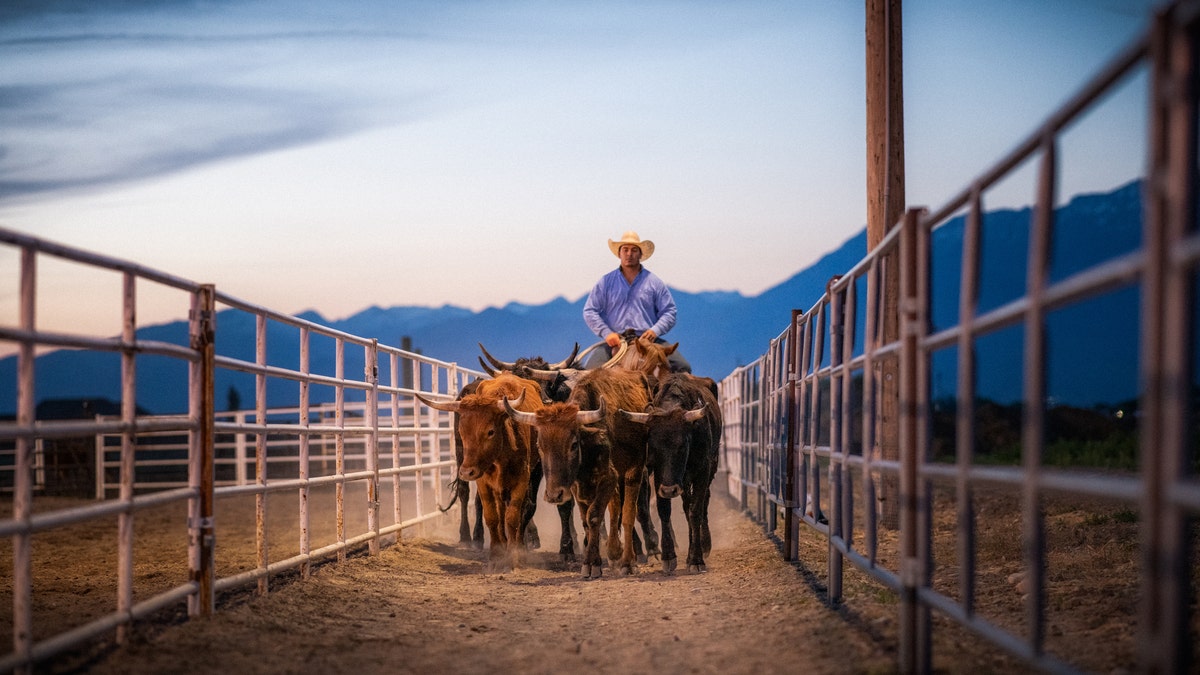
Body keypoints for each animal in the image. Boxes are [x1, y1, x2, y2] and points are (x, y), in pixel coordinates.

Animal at [415, 369, 542, 569]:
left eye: (490, 431)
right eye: (462, 431)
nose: (467, 472)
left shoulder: (522, 478)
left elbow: (513, 517)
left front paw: (514, 556)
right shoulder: (483, 481)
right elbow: (492, 516)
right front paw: (496, 555)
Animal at [619, 369, 720, 569]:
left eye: (683, 445)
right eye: (653, 447)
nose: (669, 490)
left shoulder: (702, 471)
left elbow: (696, 510)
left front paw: (696, 559)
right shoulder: (659, 476)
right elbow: (665, 510)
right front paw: (668, 555)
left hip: (711, 466)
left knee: (702, 503)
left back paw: (704, 545)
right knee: (686, 505)